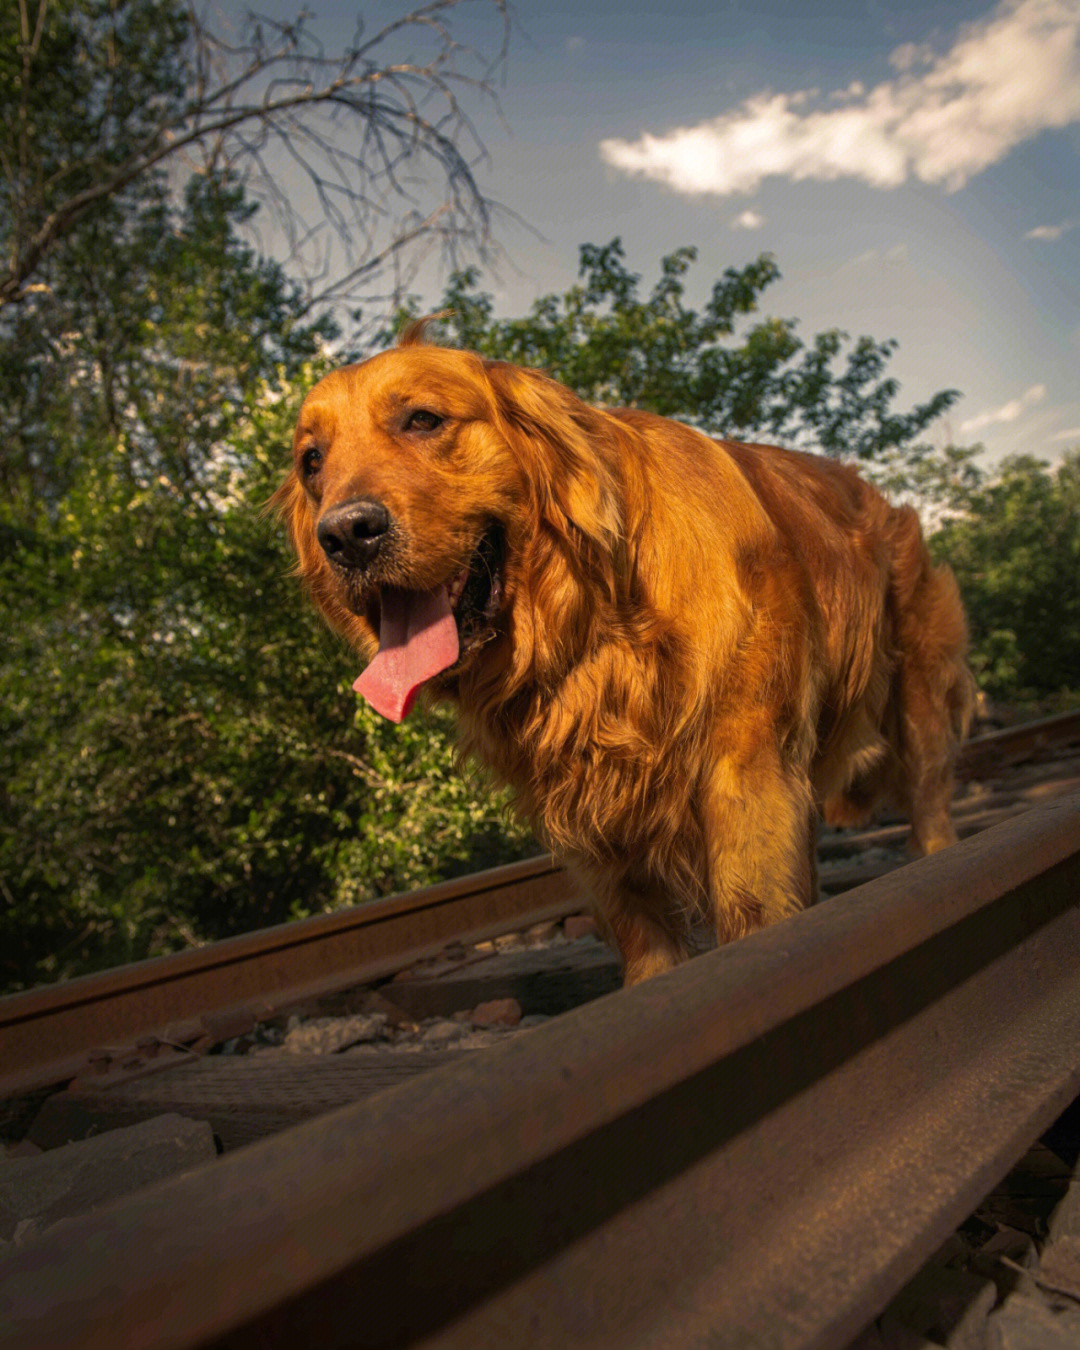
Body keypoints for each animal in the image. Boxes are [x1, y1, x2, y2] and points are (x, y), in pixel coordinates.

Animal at [274, 321, 972, 988]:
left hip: (918, 699)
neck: (599, 624)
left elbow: (754, 910)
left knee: (930, 795)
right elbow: (645, 936)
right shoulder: (589, 815)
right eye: (312, 462)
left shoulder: (744, 766)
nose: (345, 534)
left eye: (422, 420)